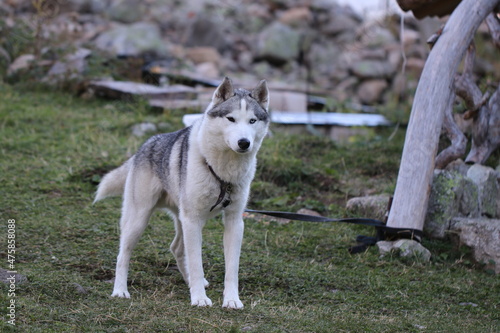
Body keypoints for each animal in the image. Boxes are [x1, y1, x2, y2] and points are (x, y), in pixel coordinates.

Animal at [95, 76, 272, 308]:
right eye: (231, 119)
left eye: (252, 121)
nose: (244, 143)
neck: (222, 171)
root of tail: (145, 145)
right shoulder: (193, 220)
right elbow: (196, 262)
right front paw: (199, 298)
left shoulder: (234, 221)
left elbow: (231, 268)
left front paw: (232, 299)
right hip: (139, 219)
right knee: (123, 254)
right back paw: (120, 290)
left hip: (182, 219)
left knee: (177, 248)